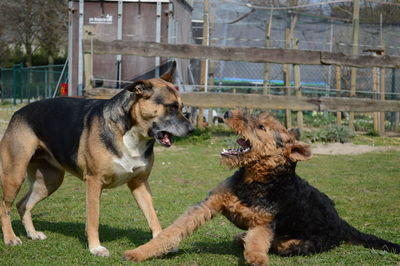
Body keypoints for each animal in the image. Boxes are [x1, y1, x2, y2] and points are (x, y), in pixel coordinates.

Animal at [0, 62, 194, 256]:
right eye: (171, 107)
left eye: (182, 108)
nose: (191, 130)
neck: (129, 133)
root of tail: (18, 113)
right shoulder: (94, 181)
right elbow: (93, 218)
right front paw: (95, 247)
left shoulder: (139, 183)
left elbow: (153, 216)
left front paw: (163, 243)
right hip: (15, 175)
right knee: (4, 207)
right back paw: (10, 238)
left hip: (49, 181)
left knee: (23, 204)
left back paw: (32, 234)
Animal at [124, 109, 400, 264]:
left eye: (261, 127)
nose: (227, 114)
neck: (256, 180)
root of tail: (341, 222)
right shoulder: (208, 204)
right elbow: (172, 232)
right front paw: (140, 252)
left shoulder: (263, 223)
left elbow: (257, 247)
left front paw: (257, 260)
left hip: (308, 242)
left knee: (281, 244)